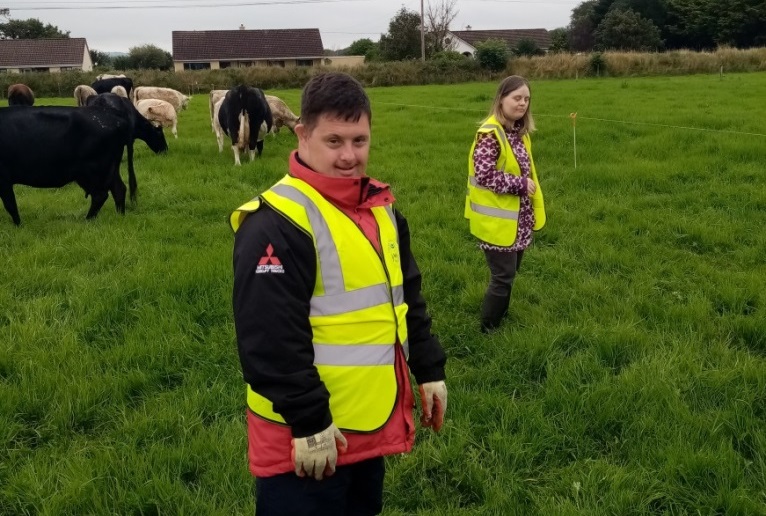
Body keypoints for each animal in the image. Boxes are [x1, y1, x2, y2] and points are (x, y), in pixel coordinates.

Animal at [0, 106, 133, 225]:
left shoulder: (4, 179)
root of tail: (113, 114)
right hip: (109, 170)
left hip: (93, 171)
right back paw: (120, 216)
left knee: (100, 195)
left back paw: (87, 220)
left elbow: (10, 205)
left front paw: (18, 226)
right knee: (119, 189)